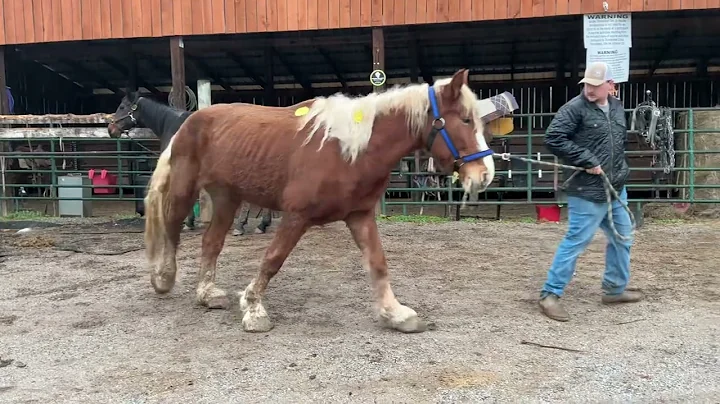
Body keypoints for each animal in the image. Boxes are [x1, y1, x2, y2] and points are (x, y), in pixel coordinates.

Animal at [143, 69, 495, 334]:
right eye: (465, 119)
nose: (485, 174)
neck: (351, 150)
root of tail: (189, 121)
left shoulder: (360, 216)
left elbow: (378, 263)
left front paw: (395, 313)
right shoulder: (296, 216)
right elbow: (272, 259)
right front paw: (254, 309)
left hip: (227, 197)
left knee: (211, 241)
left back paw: (207, 293)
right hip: (185, 190)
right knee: (172, 229)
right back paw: (163, 278)